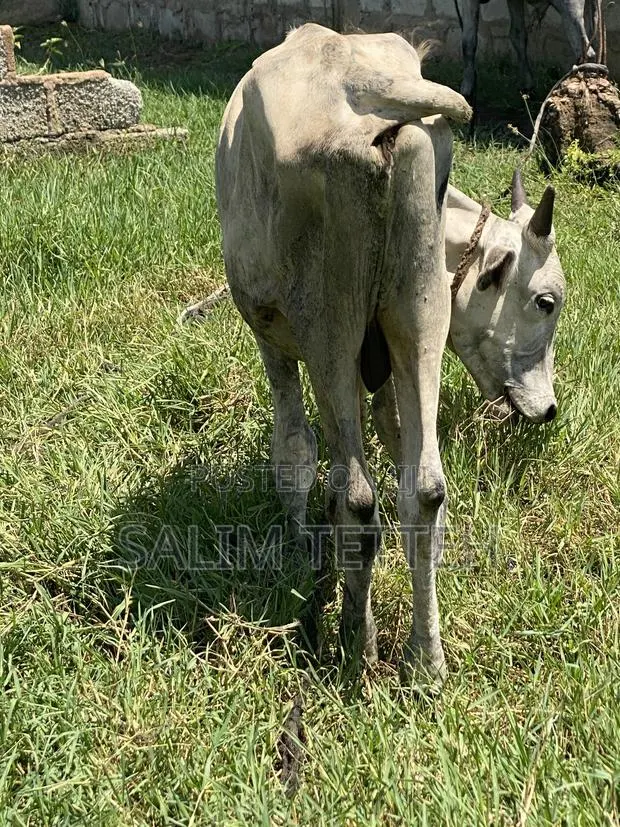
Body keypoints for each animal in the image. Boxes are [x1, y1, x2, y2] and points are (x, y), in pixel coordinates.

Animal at [215, 23, 564, 687]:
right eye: (546, 301)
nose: (550, 409)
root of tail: (361, 84)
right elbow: (394, 435)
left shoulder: (274, 338)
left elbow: (295, 453)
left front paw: (301, 556)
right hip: (416, 313)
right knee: (422, 490)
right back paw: (426, 658)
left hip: (326, 328)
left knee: (356, 494)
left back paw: (358, 643)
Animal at [457, 0, 600, 105]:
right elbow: (517, 35)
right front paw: (527, 86)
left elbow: (468, 41)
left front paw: (466, 90)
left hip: (570, 8)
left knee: (585, 50)